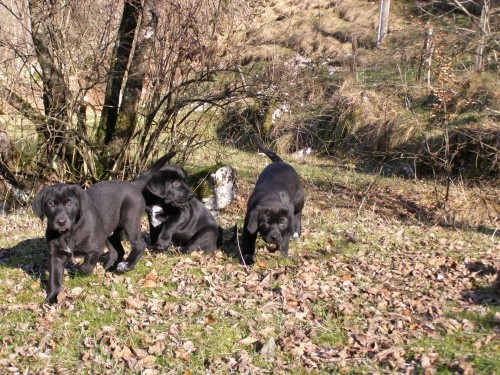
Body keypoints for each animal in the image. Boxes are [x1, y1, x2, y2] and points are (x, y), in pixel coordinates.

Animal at [31, 151, 176, 304]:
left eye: (69, 204)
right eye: (51, 204)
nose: (61, 222)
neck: (68, 234)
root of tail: (134, 186)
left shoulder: (95, 249)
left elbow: (86, 267)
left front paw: (77, 271)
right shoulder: (56, 255)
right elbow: (54, 278)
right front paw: (51, 297)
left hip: (129, 220)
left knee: (139, 244)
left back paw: (126, 266)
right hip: (110, 232)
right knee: (118, 250)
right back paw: (111, 268)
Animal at [239, 135, 302, 264]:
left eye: (282, 222)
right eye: (266, 222)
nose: (274, 237)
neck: (272, 197)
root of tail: (280, 162)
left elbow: (285, 239)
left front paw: (282, 255)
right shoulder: (249, 218)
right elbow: (248, 239)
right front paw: (247, 258)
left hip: (299, 200)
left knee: (298, 214)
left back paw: (296, 232)